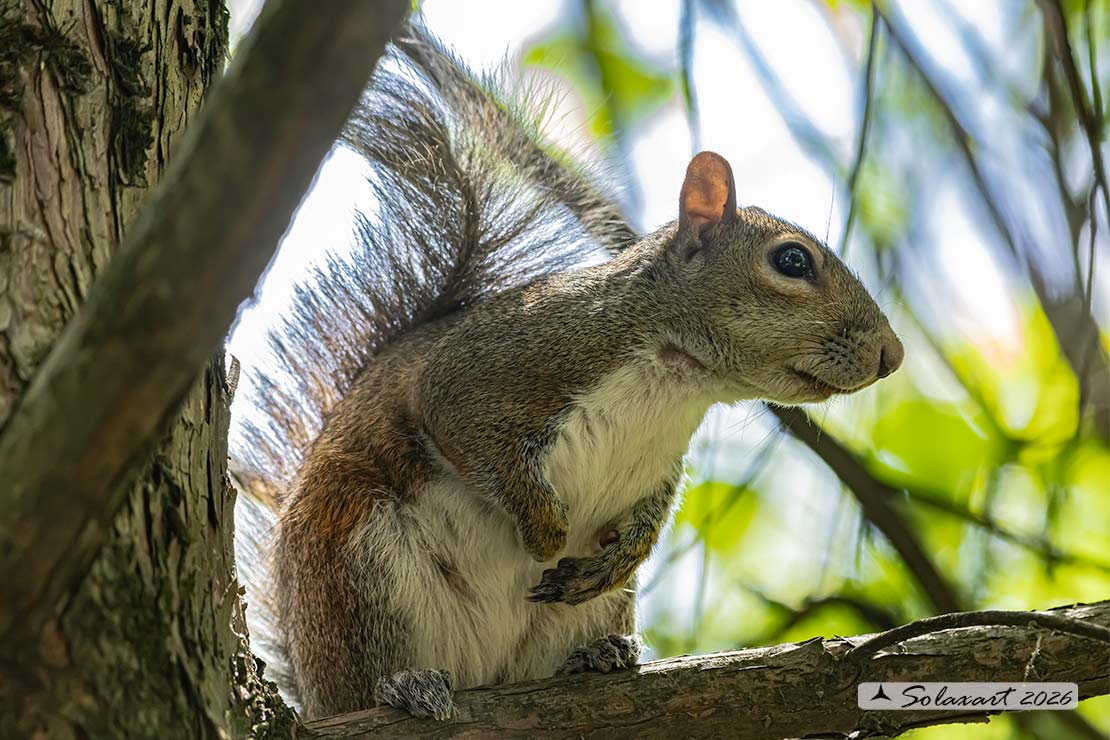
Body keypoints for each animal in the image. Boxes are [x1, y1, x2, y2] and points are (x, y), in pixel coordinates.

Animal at [231, 26, 904, 721]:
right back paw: (404, 685)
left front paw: (612, 559)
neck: (677, 383)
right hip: (356, 563)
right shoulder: (484, 372)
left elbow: (648, 521)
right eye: (792, 261)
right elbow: (470, 436)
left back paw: (602, 654)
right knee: (366, 674)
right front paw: (545, 531)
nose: (893, 355)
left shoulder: (658, 467)